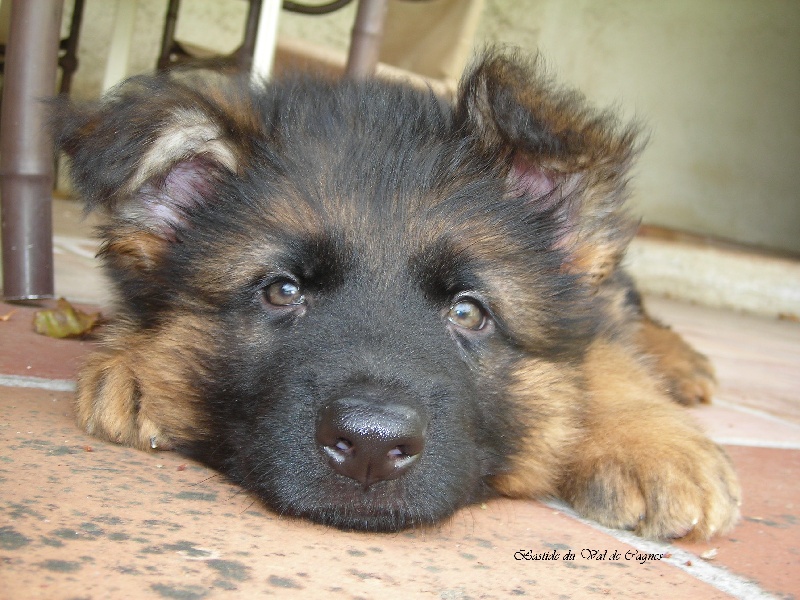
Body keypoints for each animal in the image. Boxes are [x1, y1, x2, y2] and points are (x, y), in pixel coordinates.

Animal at [56, 50, 740, 540]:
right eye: (282, 291)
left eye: (468, 311)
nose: (370, 446)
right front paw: (137, 366)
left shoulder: (582, 316)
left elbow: (603, 355)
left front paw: (652, 445)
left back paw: (683, 366)